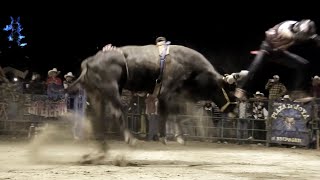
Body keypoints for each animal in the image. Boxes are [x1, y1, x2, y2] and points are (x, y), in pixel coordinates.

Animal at [72, 43, 238, 152]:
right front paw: (165, 137)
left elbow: (175, 114)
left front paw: (178, 137)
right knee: (117, 112)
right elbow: (166, 114)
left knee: (98, 116)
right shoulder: (166, 92)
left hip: (96, 94)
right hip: (112, 89)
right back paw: (130, 139)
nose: (235, 111)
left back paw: (103, 144)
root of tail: (89, 61)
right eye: (230, 92)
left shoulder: (175, 95)